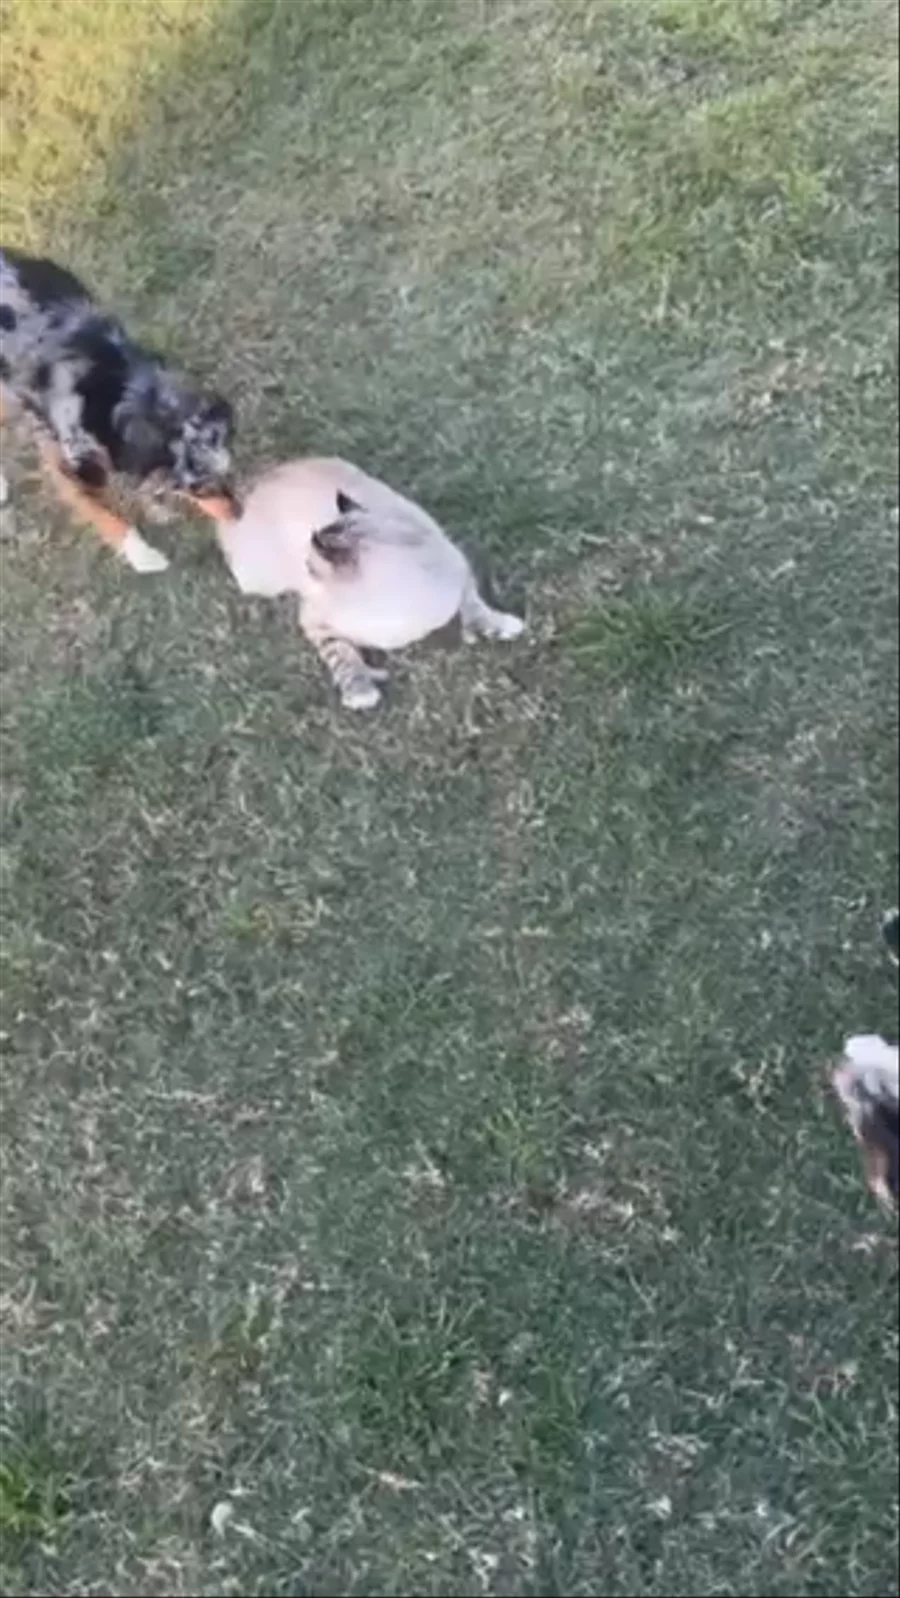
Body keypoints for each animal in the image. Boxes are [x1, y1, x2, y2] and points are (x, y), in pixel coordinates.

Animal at [0, 246, 237, 572]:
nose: (240, 513)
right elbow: (106, 514)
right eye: (199, 488)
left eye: (227, 473)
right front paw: (143, 555)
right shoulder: (70, 463)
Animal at [209, 457, 524, 708]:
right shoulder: (315, 622)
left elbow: (475, 606)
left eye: (310, 566)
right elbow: (343, 656)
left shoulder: (459, 570)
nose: (304, 570)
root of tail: (264, 478)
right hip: (257, 579)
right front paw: (360, 692)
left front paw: (499, 626)